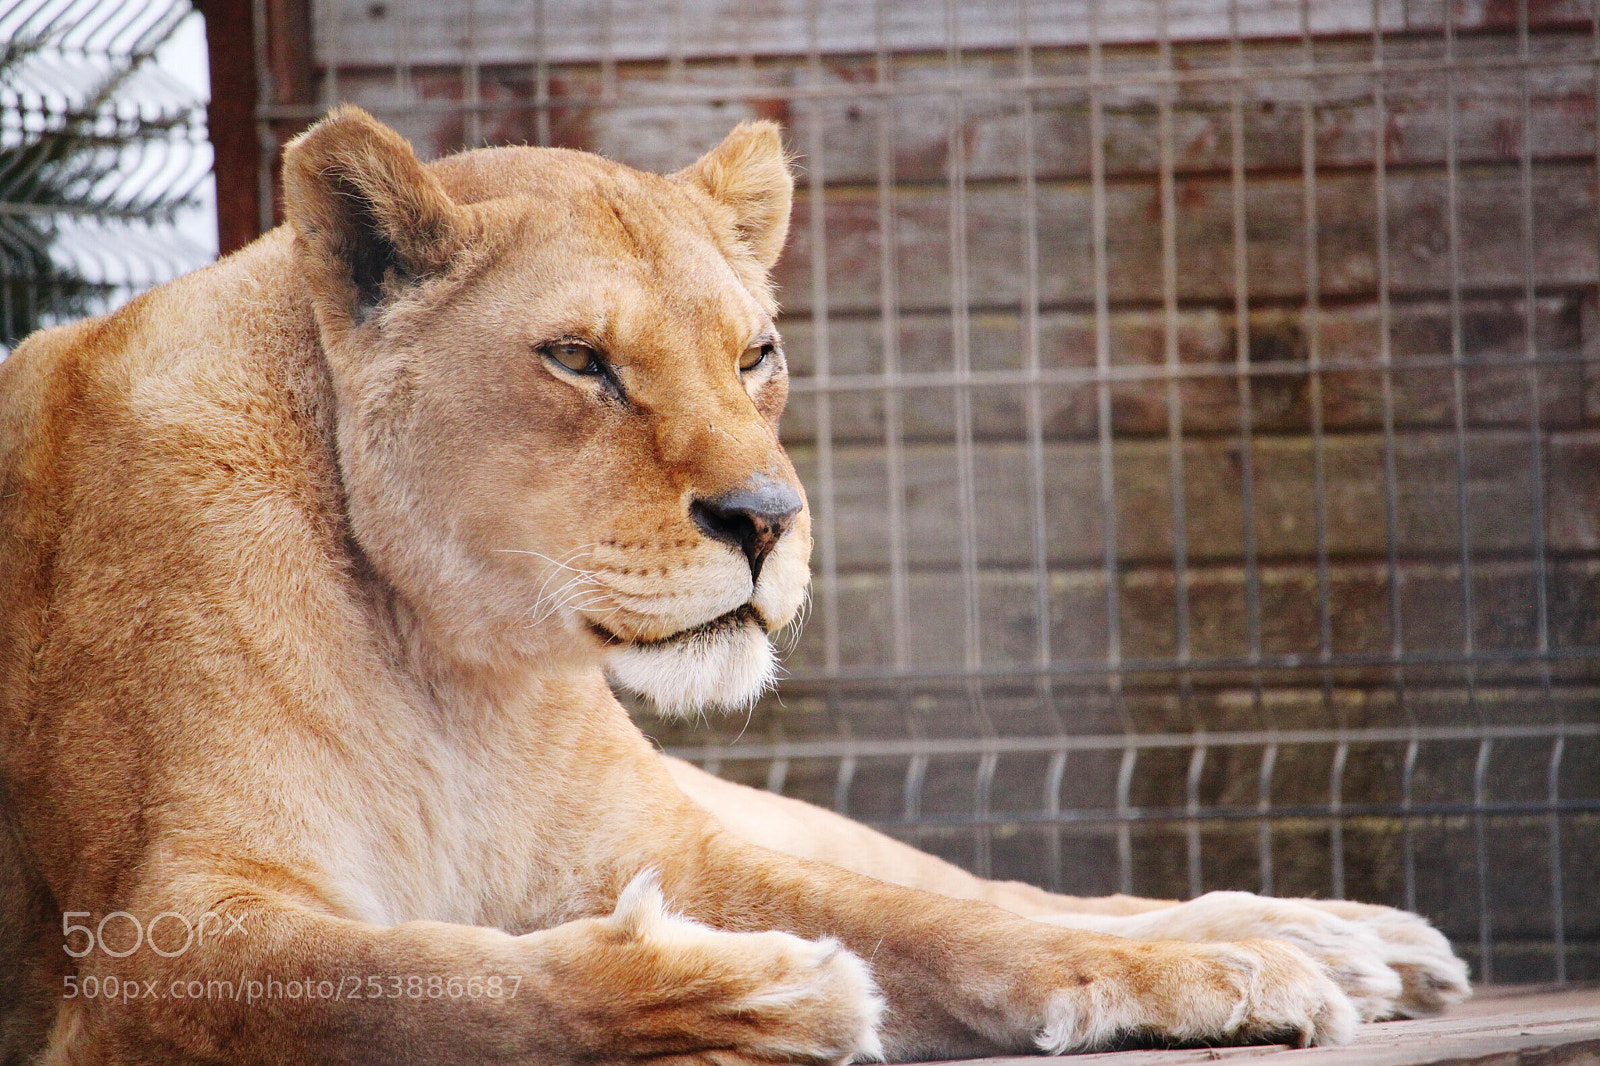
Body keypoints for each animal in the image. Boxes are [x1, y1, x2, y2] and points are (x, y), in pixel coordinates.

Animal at [0, 107, 1467, 1065]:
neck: (455, 665)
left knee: (992, 882)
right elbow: (429, 984)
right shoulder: (148, 941)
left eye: (755, 351)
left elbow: (933, 914)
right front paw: (751, 994)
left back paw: (1335, 937)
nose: (767, 519)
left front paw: (1201, 967)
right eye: (579, 359)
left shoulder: (664, 843)